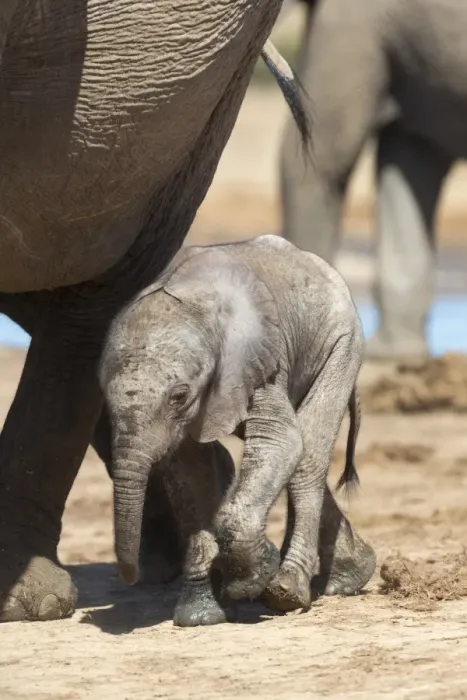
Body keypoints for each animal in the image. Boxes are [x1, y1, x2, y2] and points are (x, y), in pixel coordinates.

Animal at [99, 234, 376, 626]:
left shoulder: (255, 360)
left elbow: (280, 441)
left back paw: (287, 591)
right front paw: (202, 616)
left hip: (342, 343)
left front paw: (249, 581)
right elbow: (190, 473)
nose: (132, 576)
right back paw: (350, 575)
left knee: (308, 455)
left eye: (178, 396)